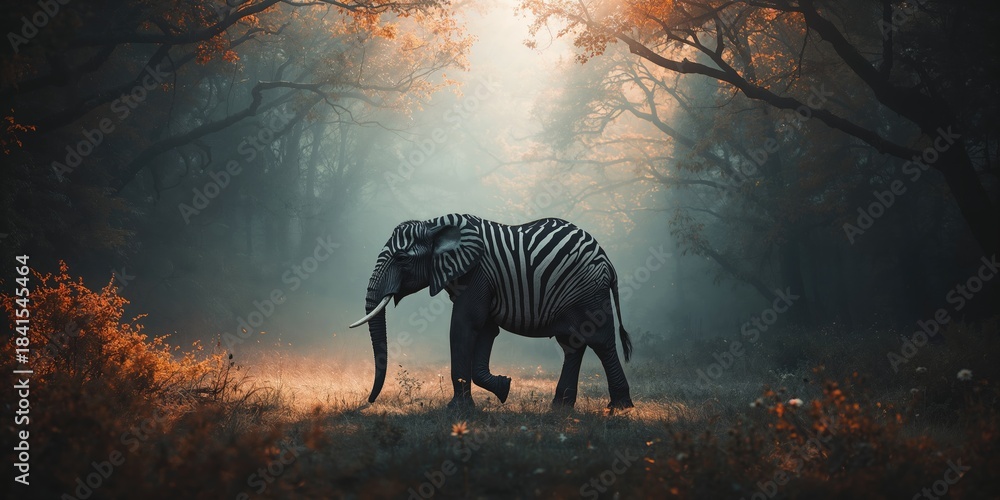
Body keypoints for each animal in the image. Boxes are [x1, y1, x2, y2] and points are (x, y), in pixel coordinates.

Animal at [349, 213, 634, 410]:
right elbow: (486, 329)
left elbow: (465, 325)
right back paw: (559, 408)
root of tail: (608, 263)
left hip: (588, 290)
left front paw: (458, 411)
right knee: (573, 344)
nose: (369, 402)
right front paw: (504, 387)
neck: (434, 225)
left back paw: (619, 408)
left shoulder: (477, 274)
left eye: (401, 259)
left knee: (600, 341)